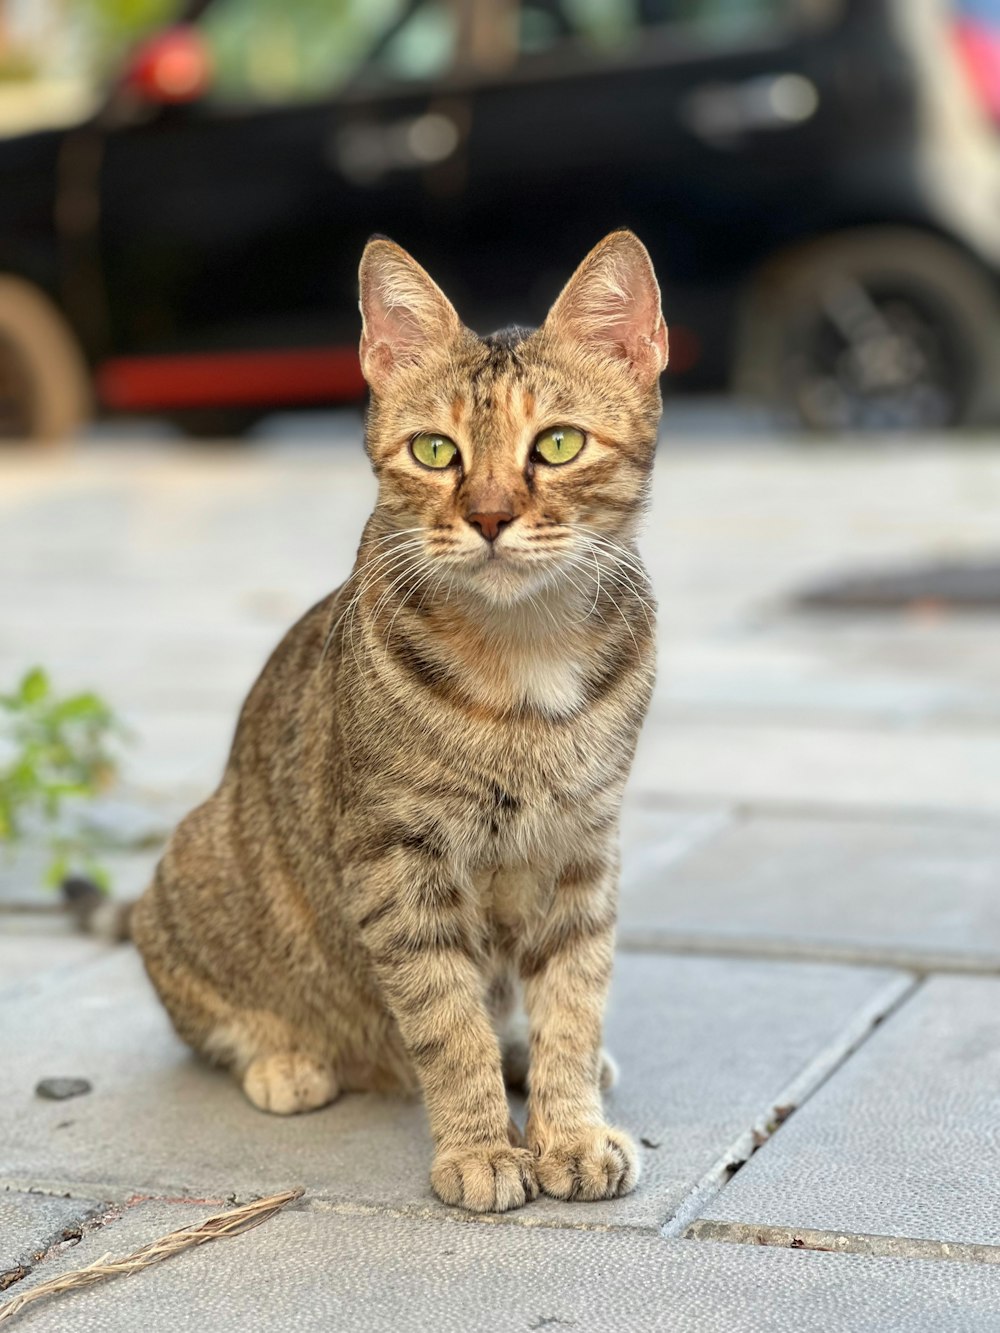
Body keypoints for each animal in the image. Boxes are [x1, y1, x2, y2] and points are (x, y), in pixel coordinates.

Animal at [131, 226, 666, 1210]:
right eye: (434, 451)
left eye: (558, 443)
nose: (489, 515)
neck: (521, 657)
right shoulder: (396, 861)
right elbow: (445, 1018)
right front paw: (481, 1145)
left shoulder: (584, 846)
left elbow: (574, 997)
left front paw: (568, 1128)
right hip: (195, 864)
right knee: (214, 1016)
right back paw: (288, 1057)